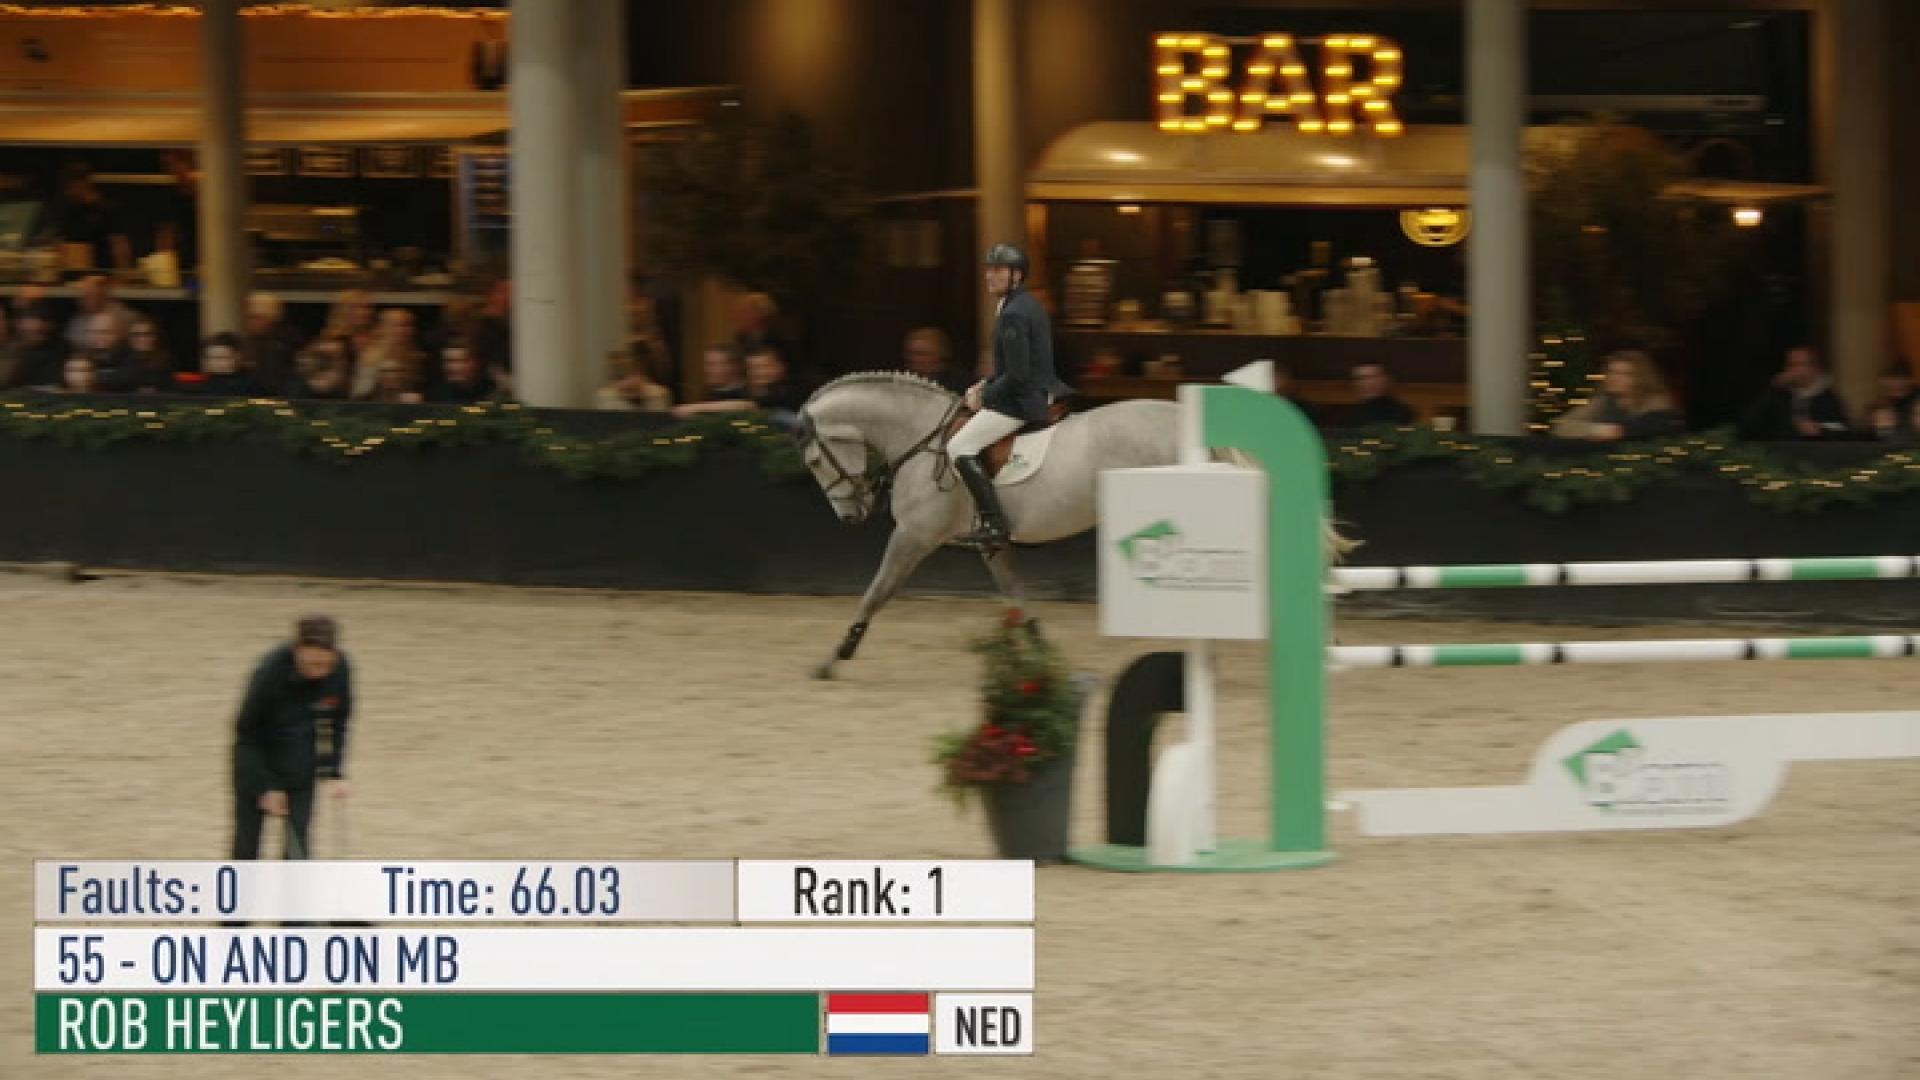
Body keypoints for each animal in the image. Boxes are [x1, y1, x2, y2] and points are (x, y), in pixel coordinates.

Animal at [794, 371, 1352, 679]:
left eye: (815, 462)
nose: (851, 515)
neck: (923, 438)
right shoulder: (991, 544)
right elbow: (1018, 596)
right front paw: (1044, 659)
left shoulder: (913, 536)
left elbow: (877, 591)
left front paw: (836, 655)